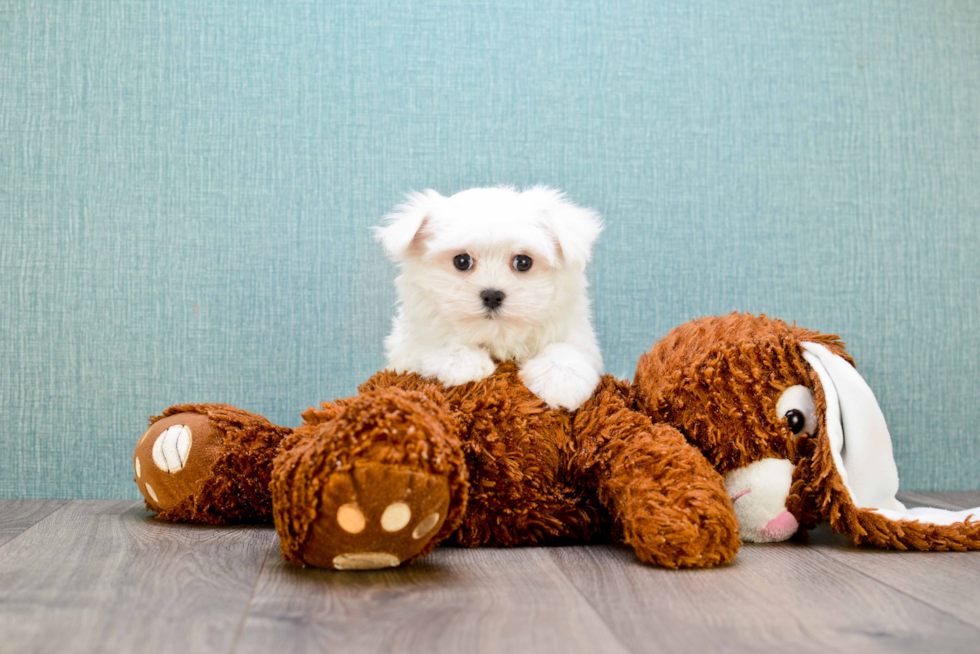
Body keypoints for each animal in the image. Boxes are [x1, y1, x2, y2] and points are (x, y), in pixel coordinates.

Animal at [376, 186, 604, 410]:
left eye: (523, 262)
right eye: (461, 261)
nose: (492, 295)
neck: (498, 336)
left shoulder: (577, 331)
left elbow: (567, 347)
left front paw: (560, 380)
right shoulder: (408, 343)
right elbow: (434, 341)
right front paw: (463, 363)